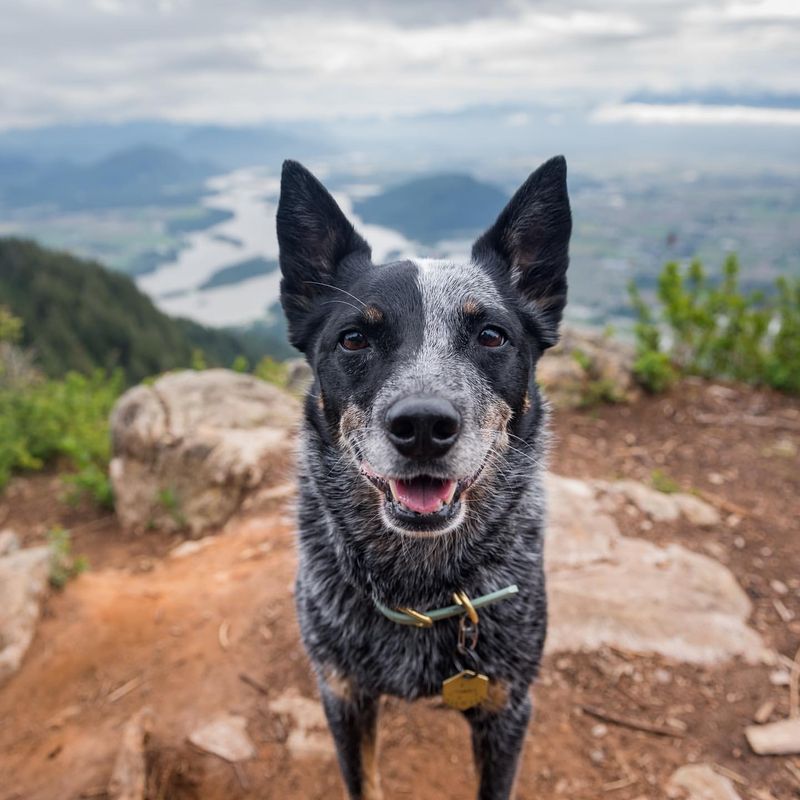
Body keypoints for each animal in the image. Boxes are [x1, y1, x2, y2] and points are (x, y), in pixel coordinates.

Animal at [278, 158, 572, 800]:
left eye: (490, 335)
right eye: (354, 338)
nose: (422, 425)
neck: (419, 591)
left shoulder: (507, 708)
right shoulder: (342, 695)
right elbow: (363, 782)